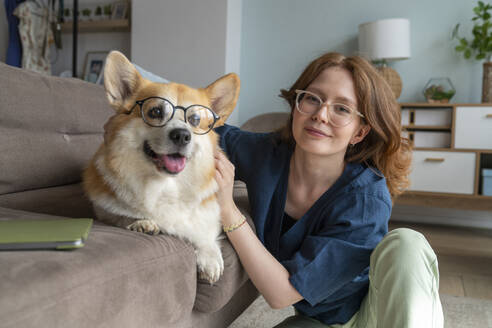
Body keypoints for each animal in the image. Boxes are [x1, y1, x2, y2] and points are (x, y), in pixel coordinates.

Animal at [83, 50, 240, 284]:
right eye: (155, 111)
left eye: (195, 119)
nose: (182, 135)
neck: (165, 185)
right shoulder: (105, 210)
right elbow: (120, 215)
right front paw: (142, 223)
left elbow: (204, 230)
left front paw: (209, 257)